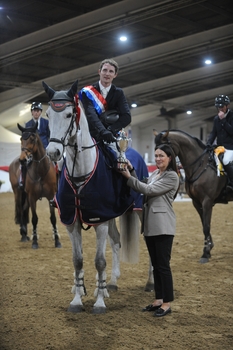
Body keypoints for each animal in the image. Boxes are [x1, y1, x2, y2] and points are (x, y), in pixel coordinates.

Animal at [43, 80, 153, 314]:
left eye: (69, 114)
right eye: (48, 114)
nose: (53, 152)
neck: (80, 172)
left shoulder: (99, 219)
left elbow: (100, 260)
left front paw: (100, 304)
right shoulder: (73, 221)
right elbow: (78, 260)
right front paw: (77, 299)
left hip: (139, 210)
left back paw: (150, 283)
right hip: (110, 215)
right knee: (117, 242)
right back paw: (109, 283)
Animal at [154, 131, 232, 262]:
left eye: (164, 147)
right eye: (155, 147)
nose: (158, 166)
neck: (200, 166)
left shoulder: (207, 201)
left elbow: (206, 226)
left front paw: (205, 254)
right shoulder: (197, 202)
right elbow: (204, 224)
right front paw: (209, 248)